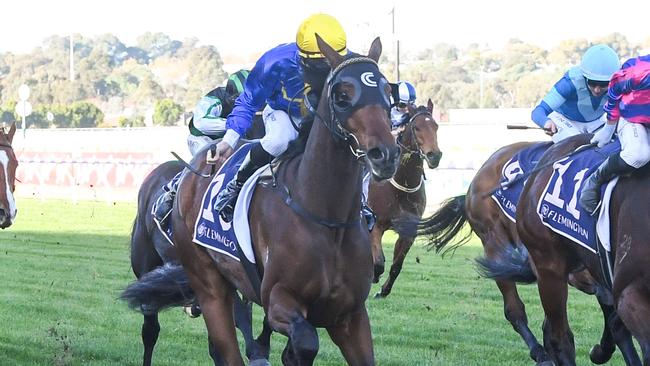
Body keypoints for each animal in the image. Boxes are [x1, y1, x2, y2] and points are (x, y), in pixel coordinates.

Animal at [119, 38, 398, 366]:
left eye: (387, 91)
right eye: (342, 95)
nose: (385, 154)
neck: (327, 219)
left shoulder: (350, 315)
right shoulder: (278, 299)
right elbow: (305, 341)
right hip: (203, 283)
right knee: (199, 340)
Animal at [370, 100, 440, 298]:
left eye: (436, 126)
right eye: (416, 127)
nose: (434, 155)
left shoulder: (408, 232)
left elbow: (396, 266)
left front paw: (383, 291)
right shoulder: (376, 225)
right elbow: (378, 262)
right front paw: (375, 277)